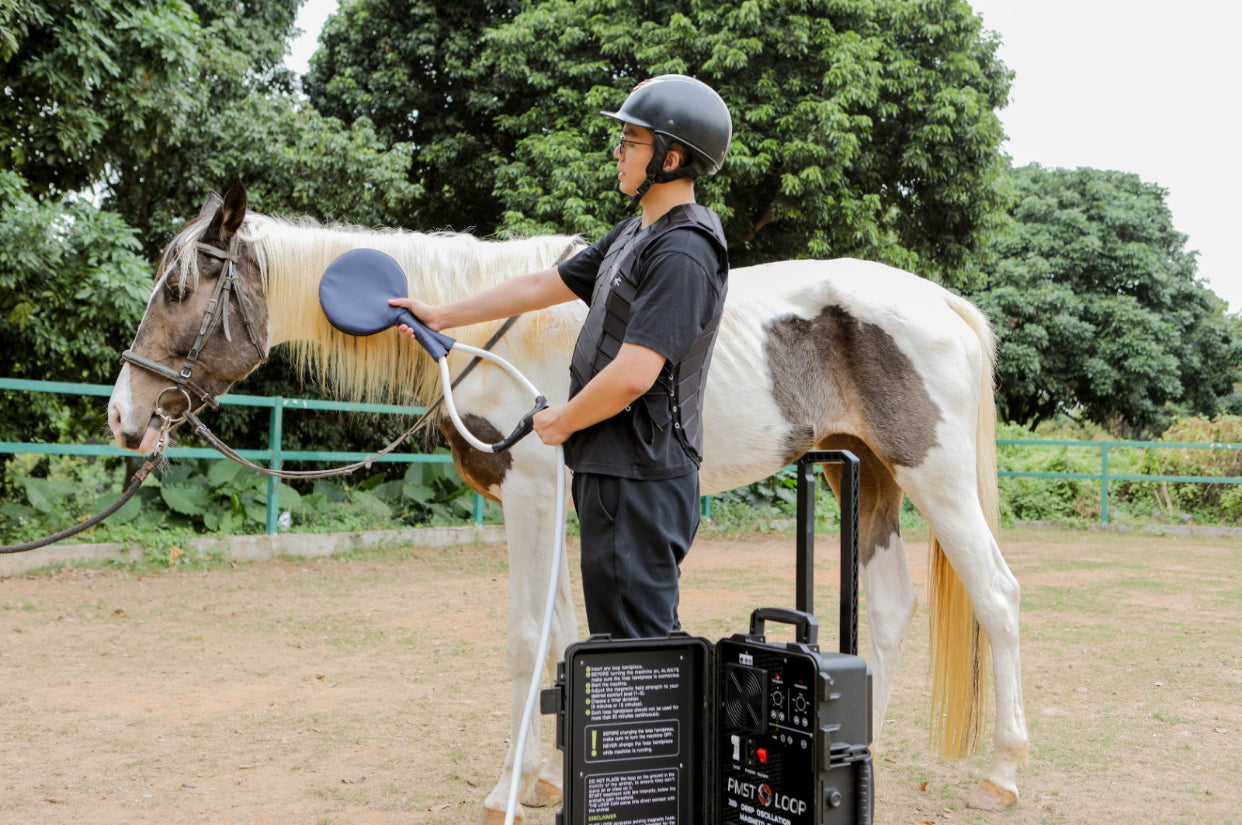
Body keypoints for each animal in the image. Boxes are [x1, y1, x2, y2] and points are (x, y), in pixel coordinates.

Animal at [107, 182, 1028, 822]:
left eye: (181, 291)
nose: (124, 416)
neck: (490, 338)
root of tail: (943, 303)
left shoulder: (534, 493)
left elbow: (526, 639)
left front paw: (504, 788)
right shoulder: (552, 504)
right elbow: (555, 634)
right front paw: (544, 776)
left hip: (935, 479)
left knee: (997, 597)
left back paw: (1004, 773)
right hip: (864, 477)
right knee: (894, 603)